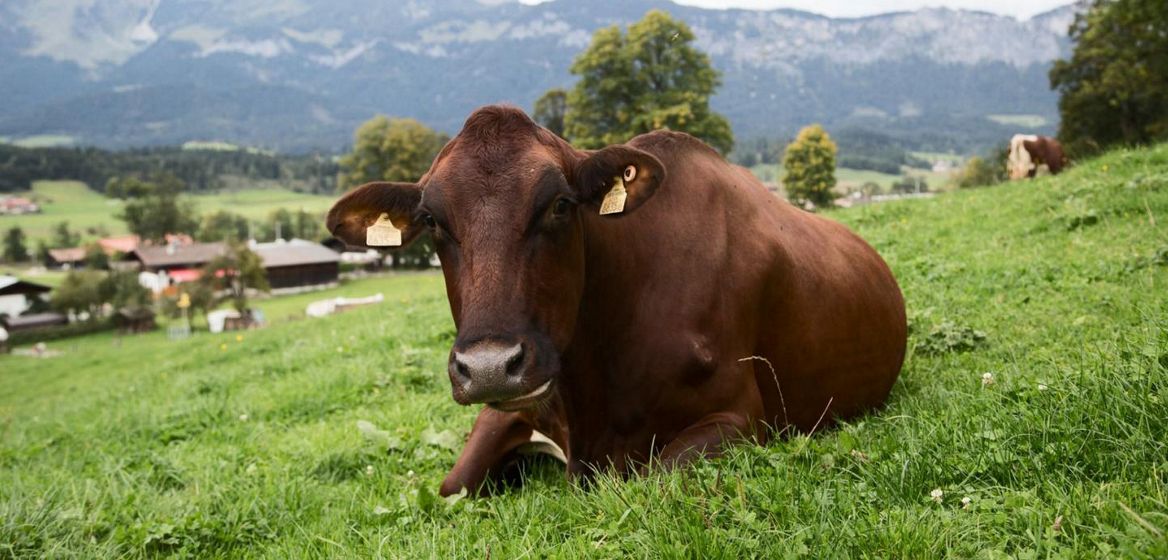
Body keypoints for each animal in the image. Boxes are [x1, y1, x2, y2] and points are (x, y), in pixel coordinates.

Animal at [324, 104, 906, 495]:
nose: (489, 367)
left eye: (560, 205)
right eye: (432, 220)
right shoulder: (513, 404)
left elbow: (652, 477)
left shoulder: (742, 415)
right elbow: (452, 485)